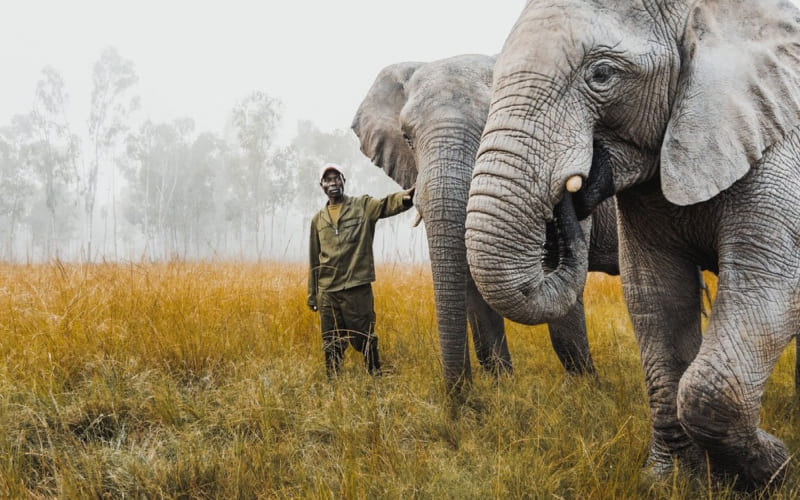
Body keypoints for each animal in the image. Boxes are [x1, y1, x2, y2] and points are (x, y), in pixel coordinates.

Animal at [464, 0, 800, 490]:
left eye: (602, 74)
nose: (571, 194)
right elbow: (658, 297)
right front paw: (671, 482)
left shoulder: (781, 150)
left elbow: (768, 288)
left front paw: (773, 471)